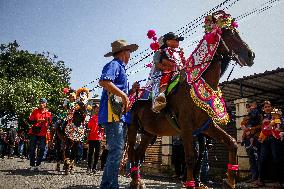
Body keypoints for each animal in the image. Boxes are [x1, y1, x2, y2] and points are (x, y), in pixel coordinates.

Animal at [127, 10, 255, 189]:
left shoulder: (206, 126)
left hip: (147, 132)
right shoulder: (186, 126)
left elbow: (232, 143)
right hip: (132, 128)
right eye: (229, 33)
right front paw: (191, 183)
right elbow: (190, 158)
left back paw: (138, 181)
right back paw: (134, 181)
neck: (196, 82)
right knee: (131, 153)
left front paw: (230, 182)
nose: (251, 55)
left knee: (138, 155)